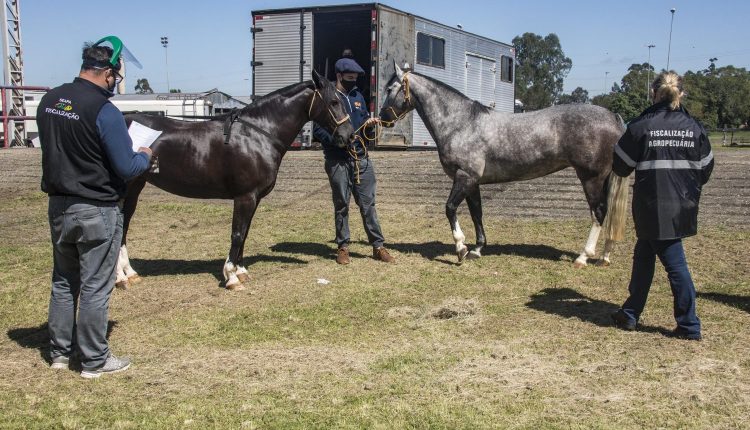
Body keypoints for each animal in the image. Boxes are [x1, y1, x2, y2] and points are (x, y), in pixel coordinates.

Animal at [117, 72, 356, 290]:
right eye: (334, 102)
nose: (350, 136)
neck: (257, 135)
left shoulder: (254, 198)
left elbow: (245, 232)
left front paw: (241, 272)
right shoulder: (245, 197)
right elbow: (238, 233)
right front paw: (231, 277)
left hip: (135, 189)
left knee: (124, 226)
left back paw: (130, 274)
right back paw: (120, 278)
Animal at [378, 63, 632, 266]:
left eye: (390, 89)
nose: (382, 118)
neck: (461, 122)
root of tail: (613, 117)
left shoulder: (464, 176)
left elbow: (450, 208)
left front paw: (461, 248)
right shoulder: (473, 182)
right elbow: (477, 213)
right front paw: (477, 249)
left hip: (591, 178)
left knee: (598, 213)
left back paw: (583, 257)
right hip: (603, 178)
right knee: (607, 214)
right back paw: (605, 257)